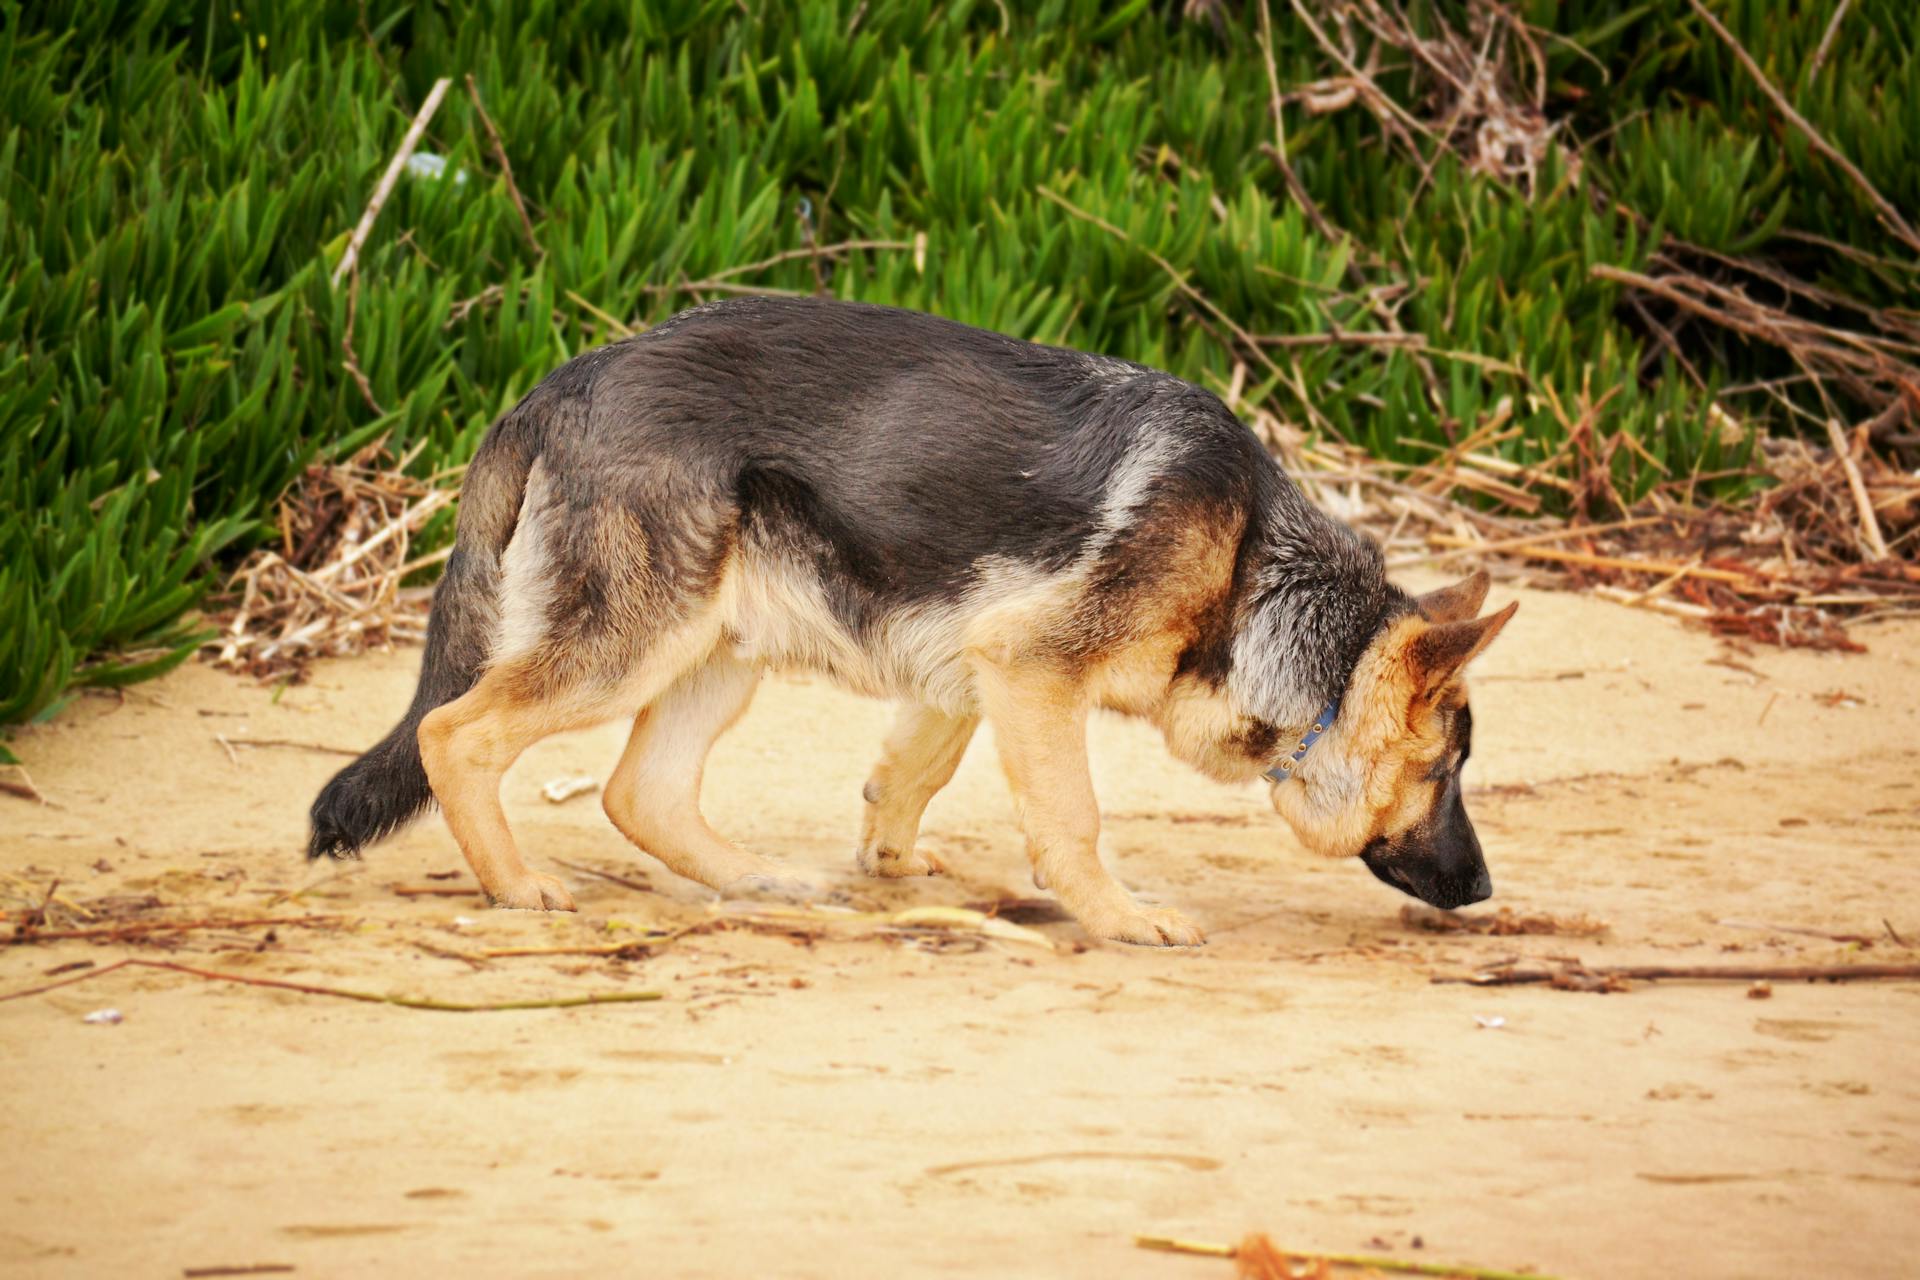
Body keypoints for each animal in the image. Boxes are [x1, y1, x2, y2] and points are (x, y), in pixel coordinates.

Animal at [311, 297, 1512, 940]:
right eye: (1446, 771)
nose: (1487, 887)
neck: (1256, 569)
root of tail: (552, 387)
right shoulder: (1031, 668)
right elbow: (1072, 816)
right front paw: (1118, 915)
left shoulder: (976, 665)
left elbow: (912, 774)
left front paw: (887, 860)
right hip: (628, 647)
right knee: (452, 733)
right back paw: (516, 886)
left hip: (717, 651)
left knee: (638, 790)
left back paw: (758, 881)